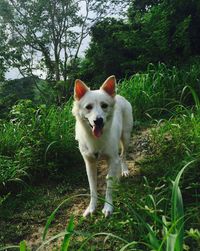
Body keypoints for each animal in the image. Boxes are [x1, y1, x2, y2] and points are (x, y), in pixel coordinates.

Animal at [72, 75, 133, 217]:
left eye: (104, 105)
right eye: (88, 107)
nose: (98, 120)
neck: (95, 139)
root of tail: (120, 96)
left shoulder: (112, 158)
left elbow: (108, 184)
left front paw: (108, 206)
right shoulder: (89, 163)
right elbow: (92, 187)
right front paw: (91, 207)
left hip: (126, 137)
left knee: (122, 156)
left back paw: (124, 171)